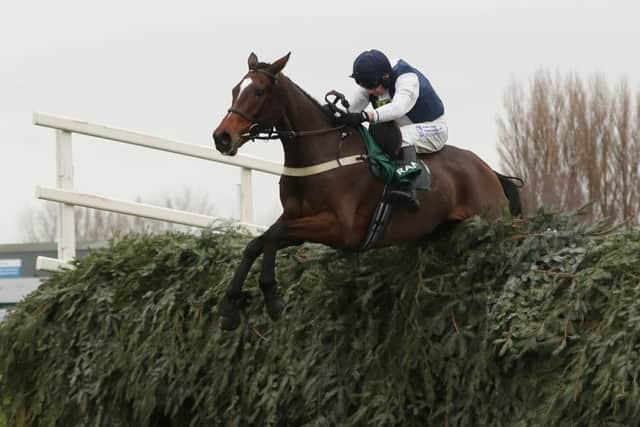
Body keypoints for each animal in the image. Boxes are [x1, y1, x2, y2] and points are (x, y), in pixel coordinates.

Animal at [212, 52, 524, 332]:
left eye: (259, 91)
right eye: (235, 90)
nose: (222, 137)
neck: (320, 152)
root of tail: (491, 173)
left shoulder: (339, 227)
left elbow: (272, 236)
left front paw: (272, 298)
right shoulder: (296, 218)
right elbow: (258, 244)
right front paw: (228, 309)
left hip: (488, 219)